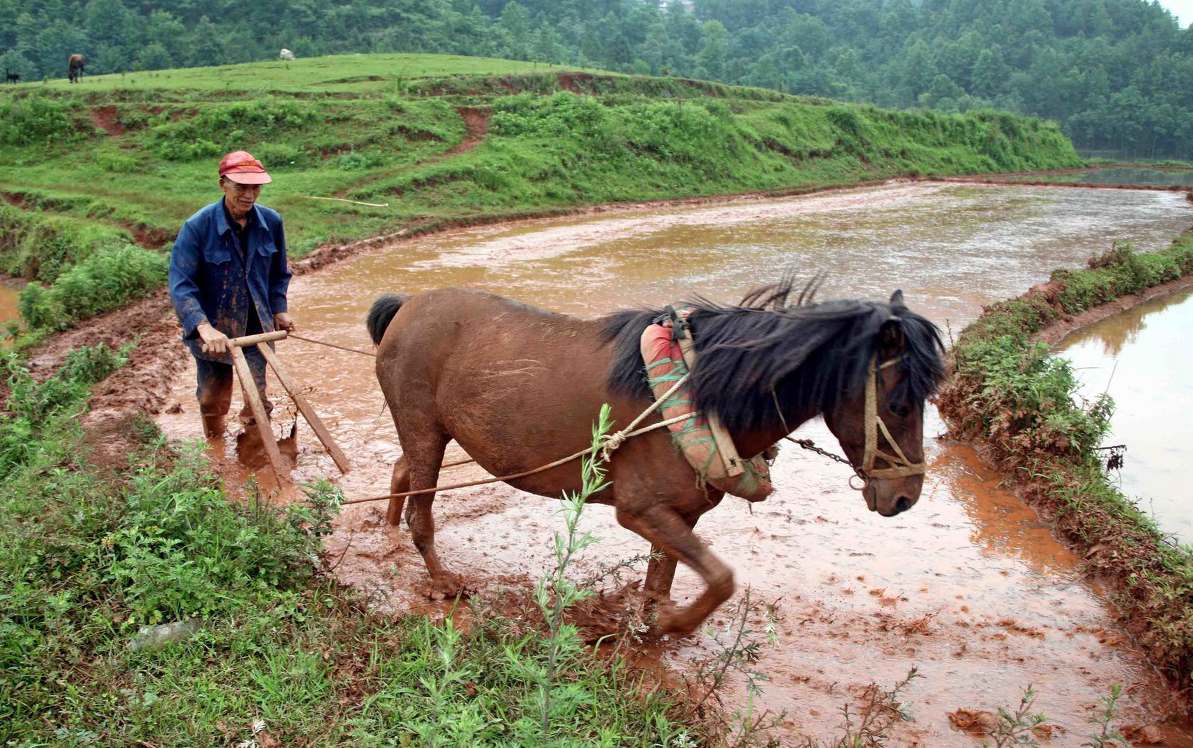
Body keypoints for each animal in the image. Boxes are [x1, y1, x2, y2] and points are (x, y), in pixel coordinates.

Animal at [367, 283, 944, 634]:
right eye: (899, 404)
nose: (905, 497)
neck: (701, 396)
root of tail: (407, 306)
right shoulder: (642, 510)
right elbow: (720, 580)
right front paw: (669, 624)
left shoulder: (680, 514)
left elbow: (664, 578)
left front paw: (650, 624)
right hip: (424, 429)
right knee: (423, 509)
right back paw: (441, 582)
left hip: (428, 435)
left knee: (402, 472)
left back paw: (388, 533)